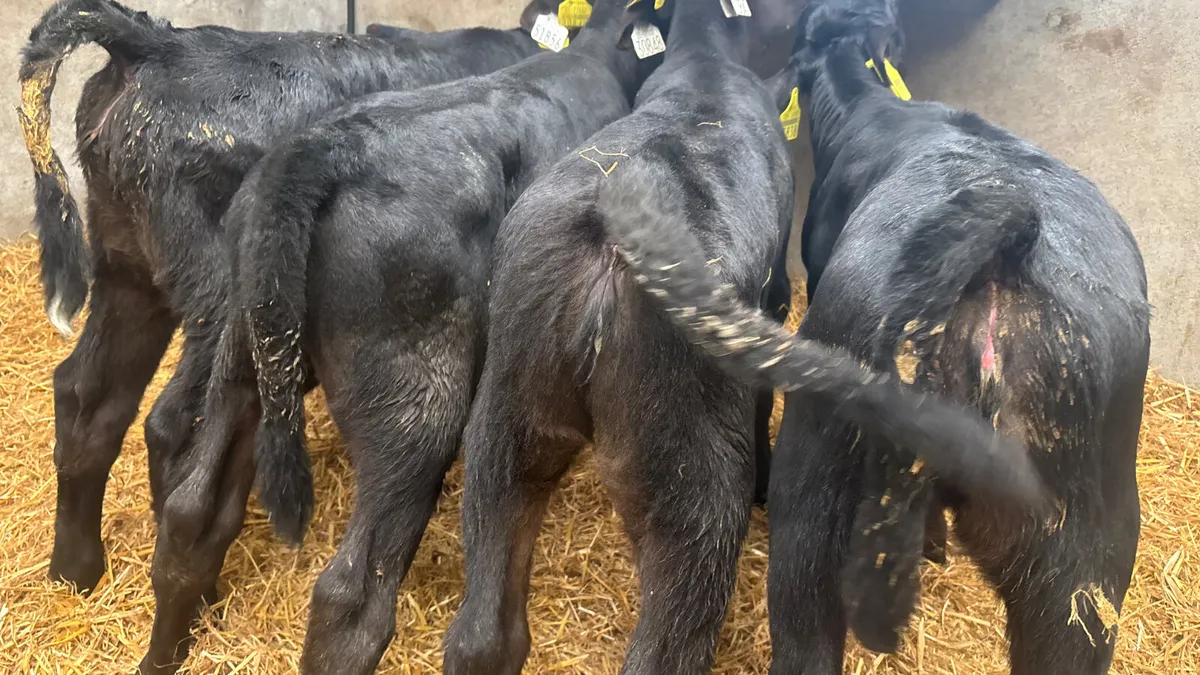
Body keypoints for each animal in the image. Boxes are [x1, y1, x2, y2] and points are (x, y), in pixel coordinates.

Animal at [17, 0, 549, 600]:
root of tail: (156, 45)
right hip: (214, 294)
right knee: (169, 420)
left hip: (125, 267)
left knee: (88, 397)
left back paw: (76, 570)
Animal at [148, 0, 667, 672]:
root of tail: (319, 150)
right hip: (415, 407)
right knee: (350, 599)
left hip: (243, 356)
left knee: (192, 514)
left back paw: (161, 654)